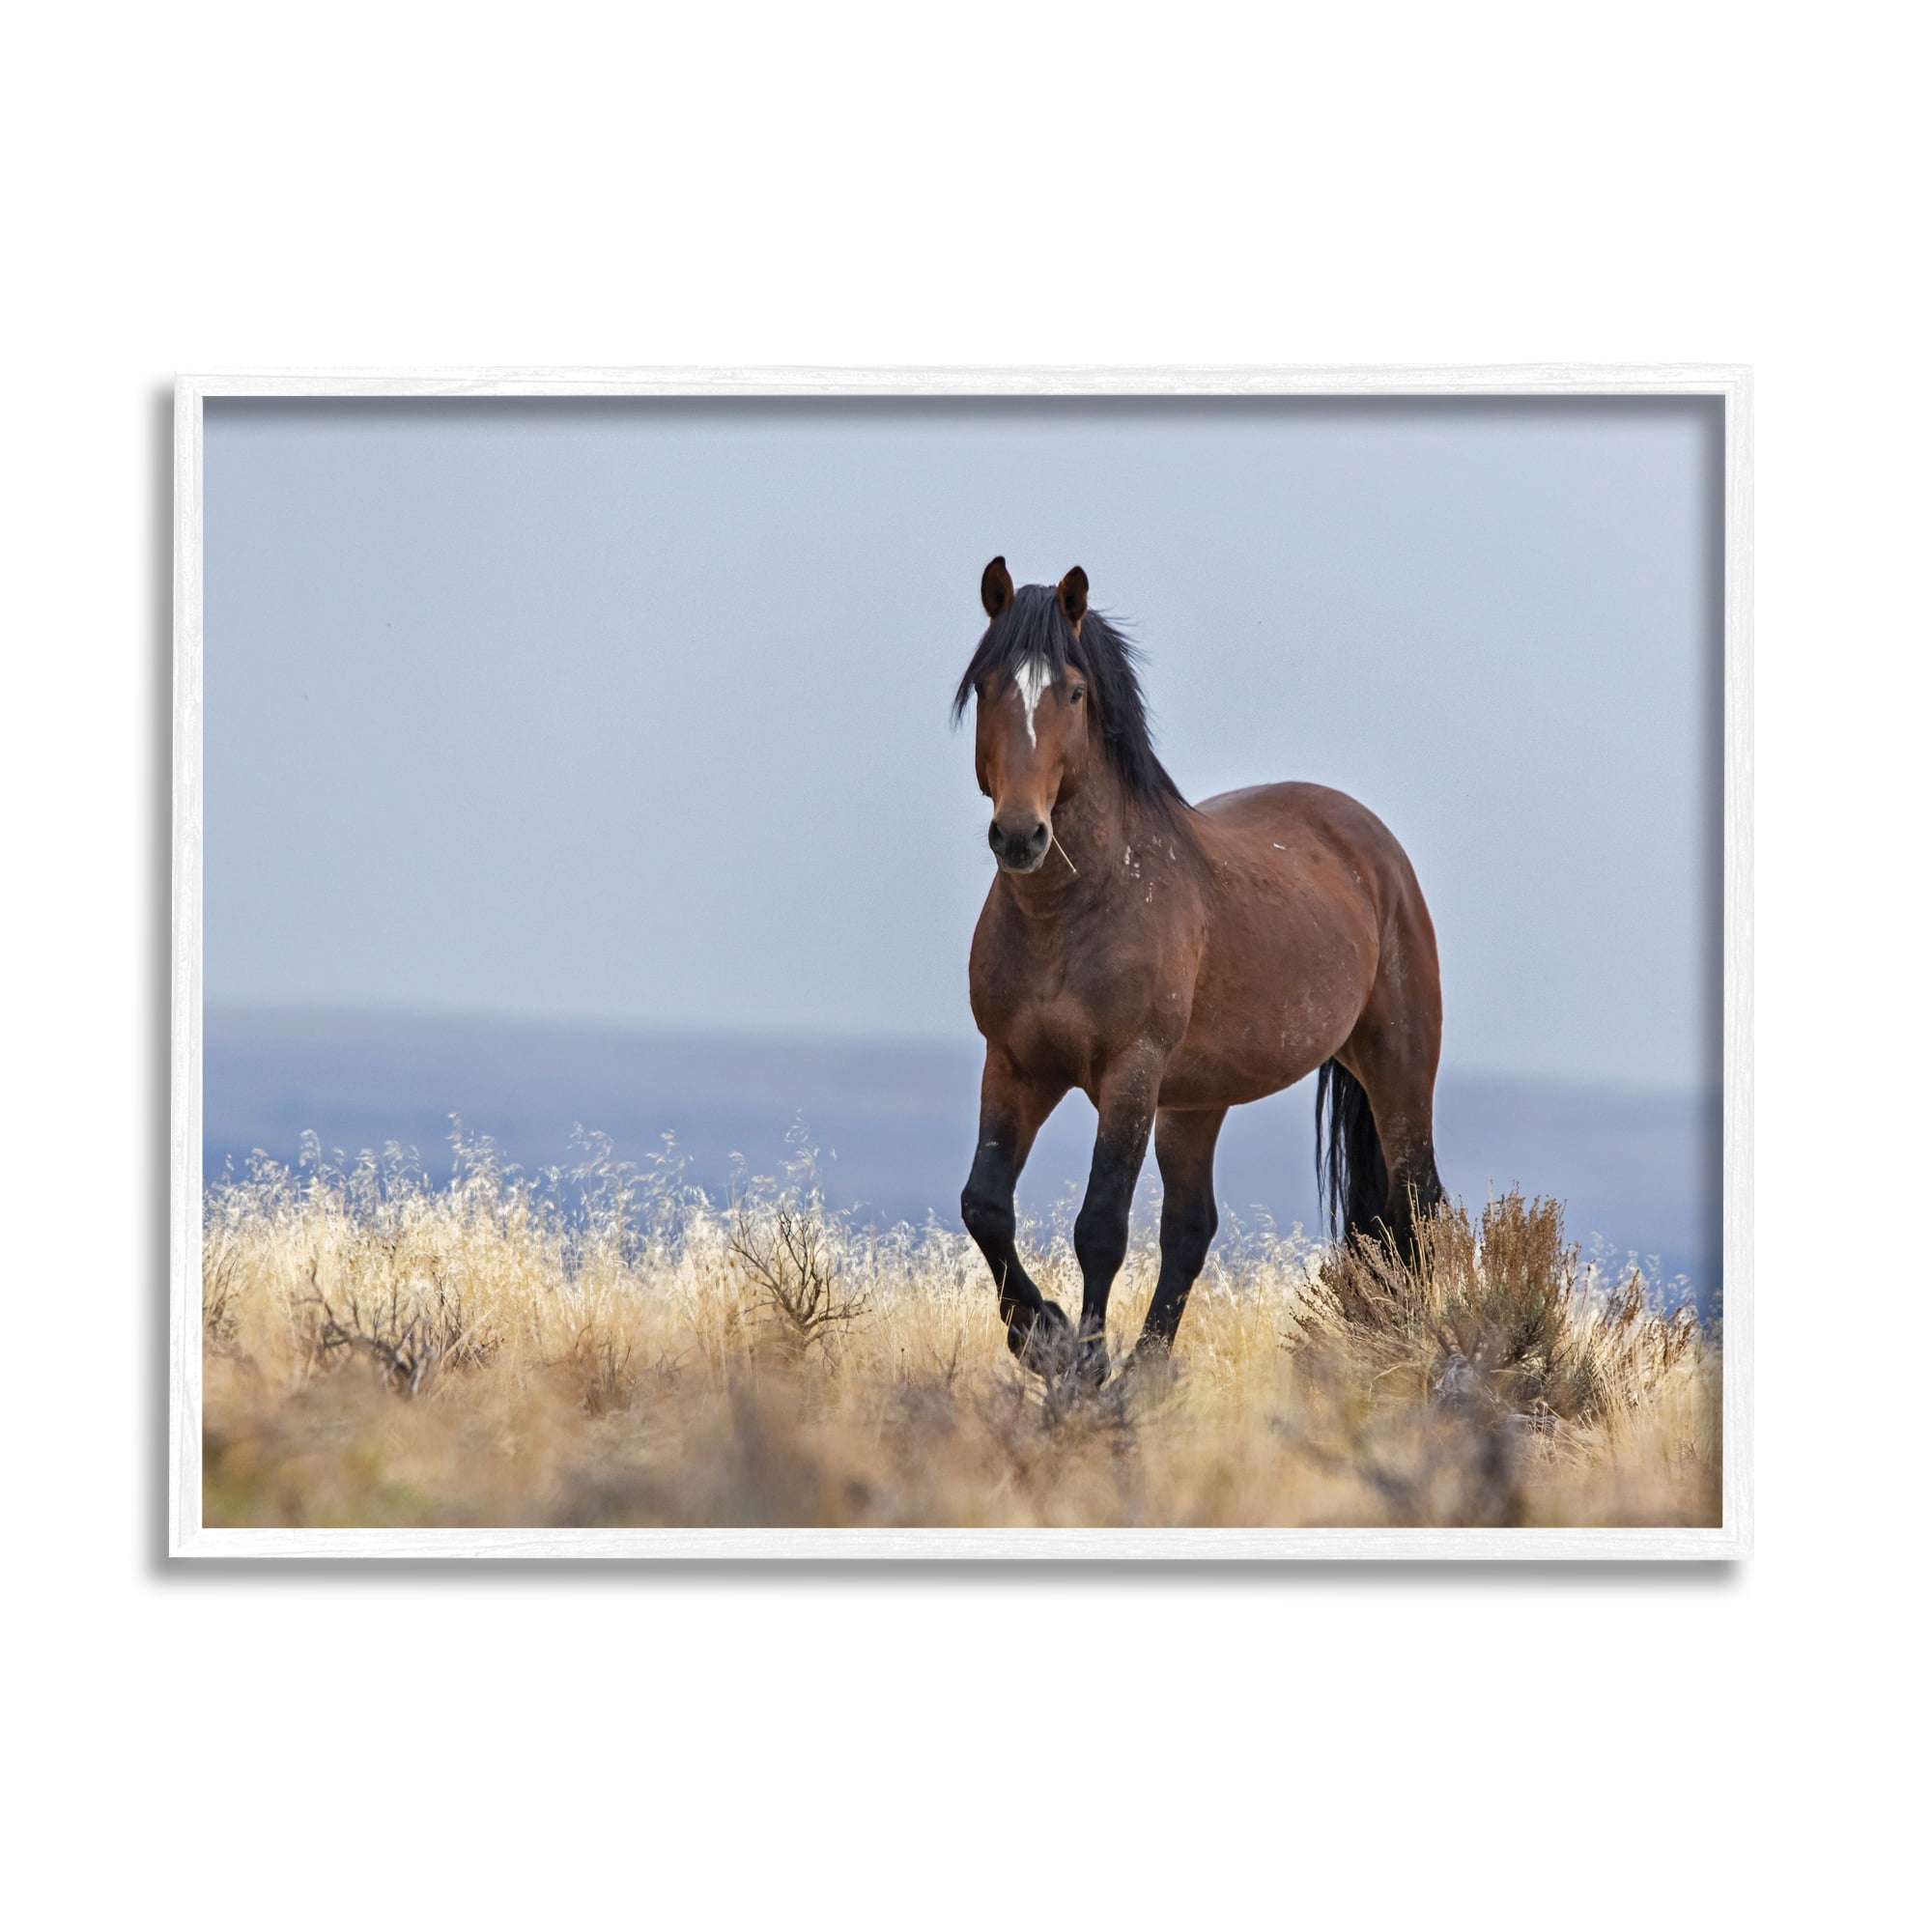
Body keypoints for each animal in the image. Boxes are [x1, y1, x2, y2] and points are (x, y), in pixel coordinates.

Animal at [956, 556, 1446, 1388]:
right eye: (988, 685)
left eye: (1074, 692)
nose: (1021, 836)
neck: (1072, 911)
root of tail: (1373, 845)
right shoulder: (1014, 1065)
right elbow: (985, 1204)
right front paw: (1044, 1335)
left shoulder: (1130, 1073)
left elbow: (1101, 1226)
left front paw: (1084, 1369)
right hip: (1196, 1102)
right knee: (1191, 1229)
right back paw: (1149, 1373)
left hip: (1398, 1071)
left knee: (1416, 1208)